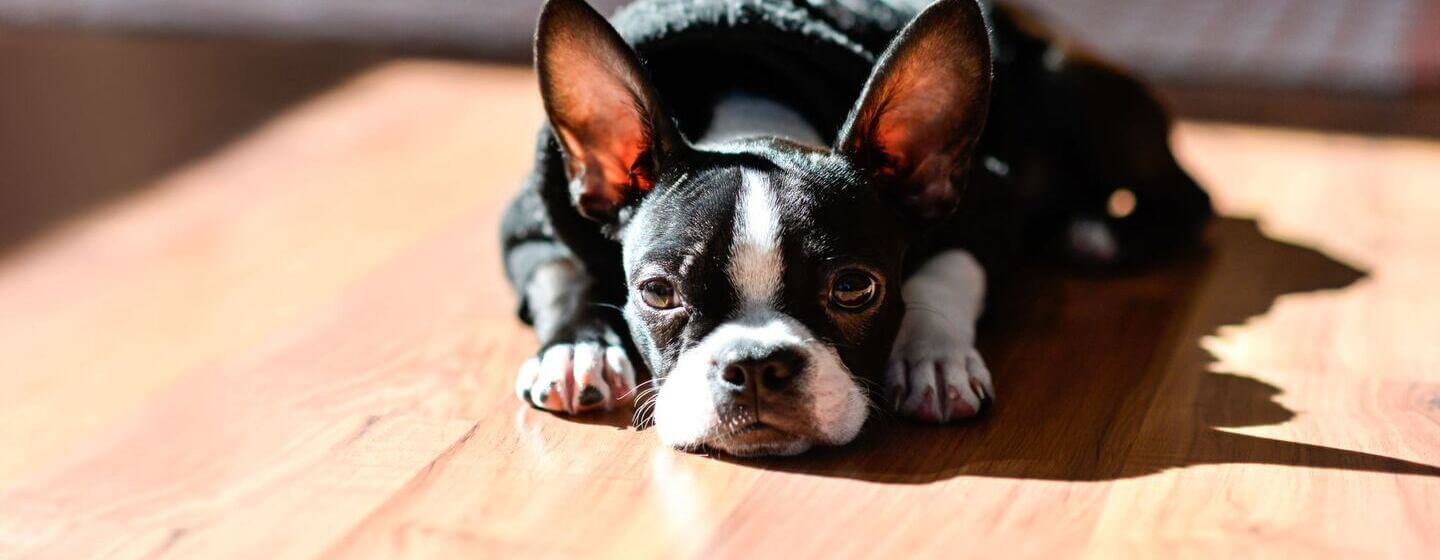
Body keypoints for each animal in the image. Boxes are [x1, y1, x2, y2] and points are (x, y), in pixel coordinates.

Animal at [501, 0, 1209, 454]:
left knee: (1188, 196)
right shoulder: (532, 222)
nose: (756, 365)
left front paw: (933, 360)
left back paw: (1095, 233)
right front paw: (577, 350)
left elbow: (947, 274)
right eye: (657, 293)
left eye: (854, 288)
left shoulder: (986, 209)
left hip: (1070, 93)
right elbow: (561, 272)